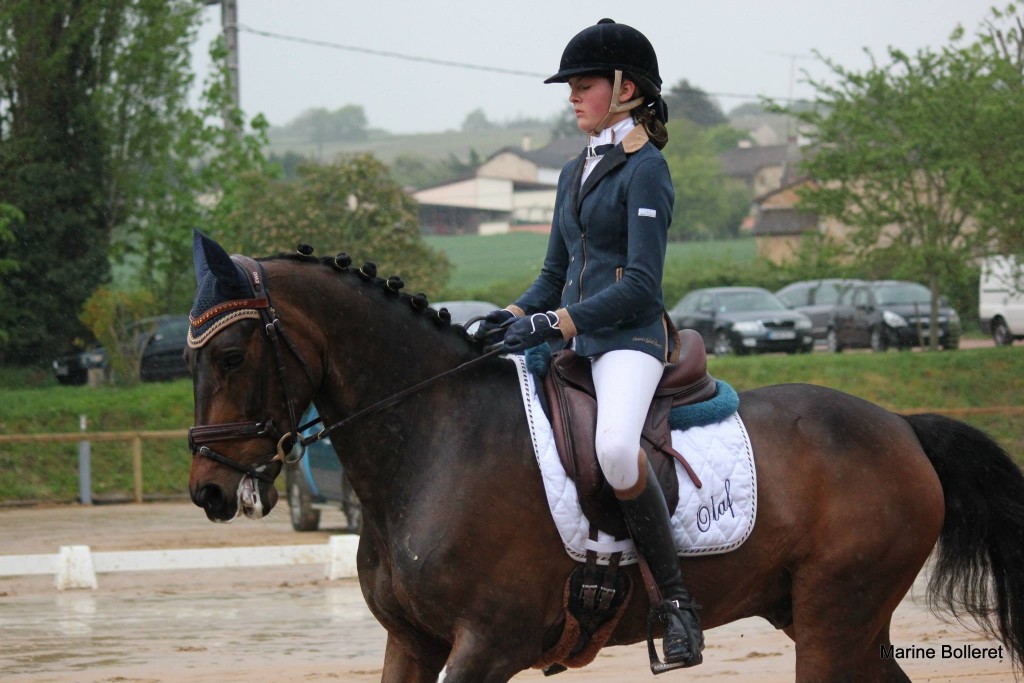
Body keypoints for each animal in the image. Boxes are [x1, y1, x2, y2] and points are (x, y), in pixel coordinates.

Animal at [184, 232, 1024, 679]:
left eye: (229, 354)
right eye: (185, 358)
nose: (209, 492)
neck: (434, 437)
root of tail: (901, 427)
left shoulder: (487, 644)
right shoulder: (411, 641)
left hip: (833, 619)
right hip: (834, 617)